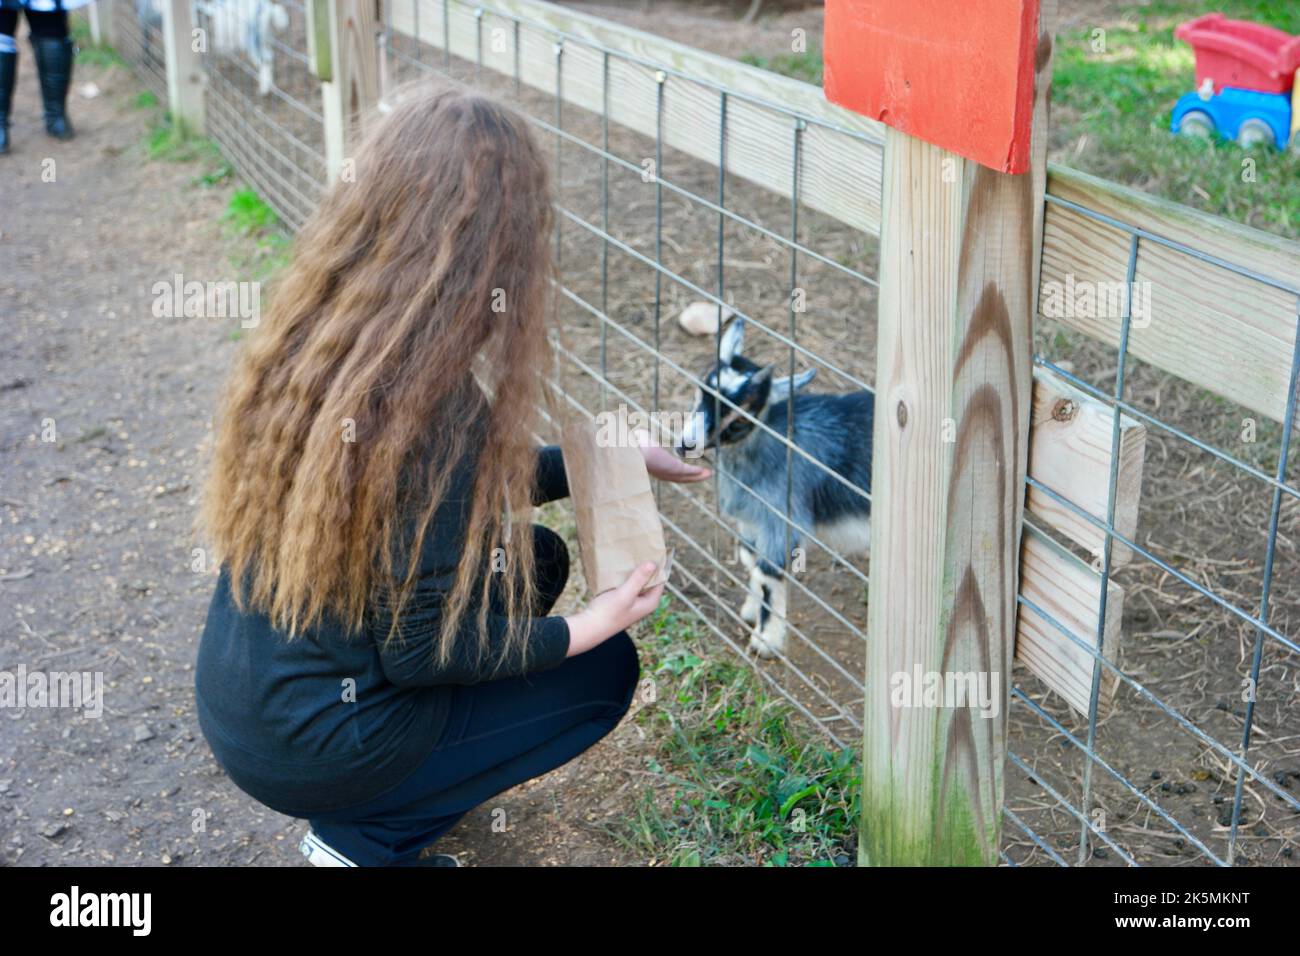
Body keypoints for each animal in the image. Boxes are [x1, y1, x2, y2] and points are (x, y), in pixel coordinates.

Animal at [676, 319, 878, 658]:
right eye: (702, 389)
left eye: (740, 417)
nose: (685, 445)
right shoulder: (752, 520)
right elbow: (749, 561)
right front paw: (749, 612)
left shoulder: (781, 517)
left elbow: (768, 573)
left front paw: (765, 641)